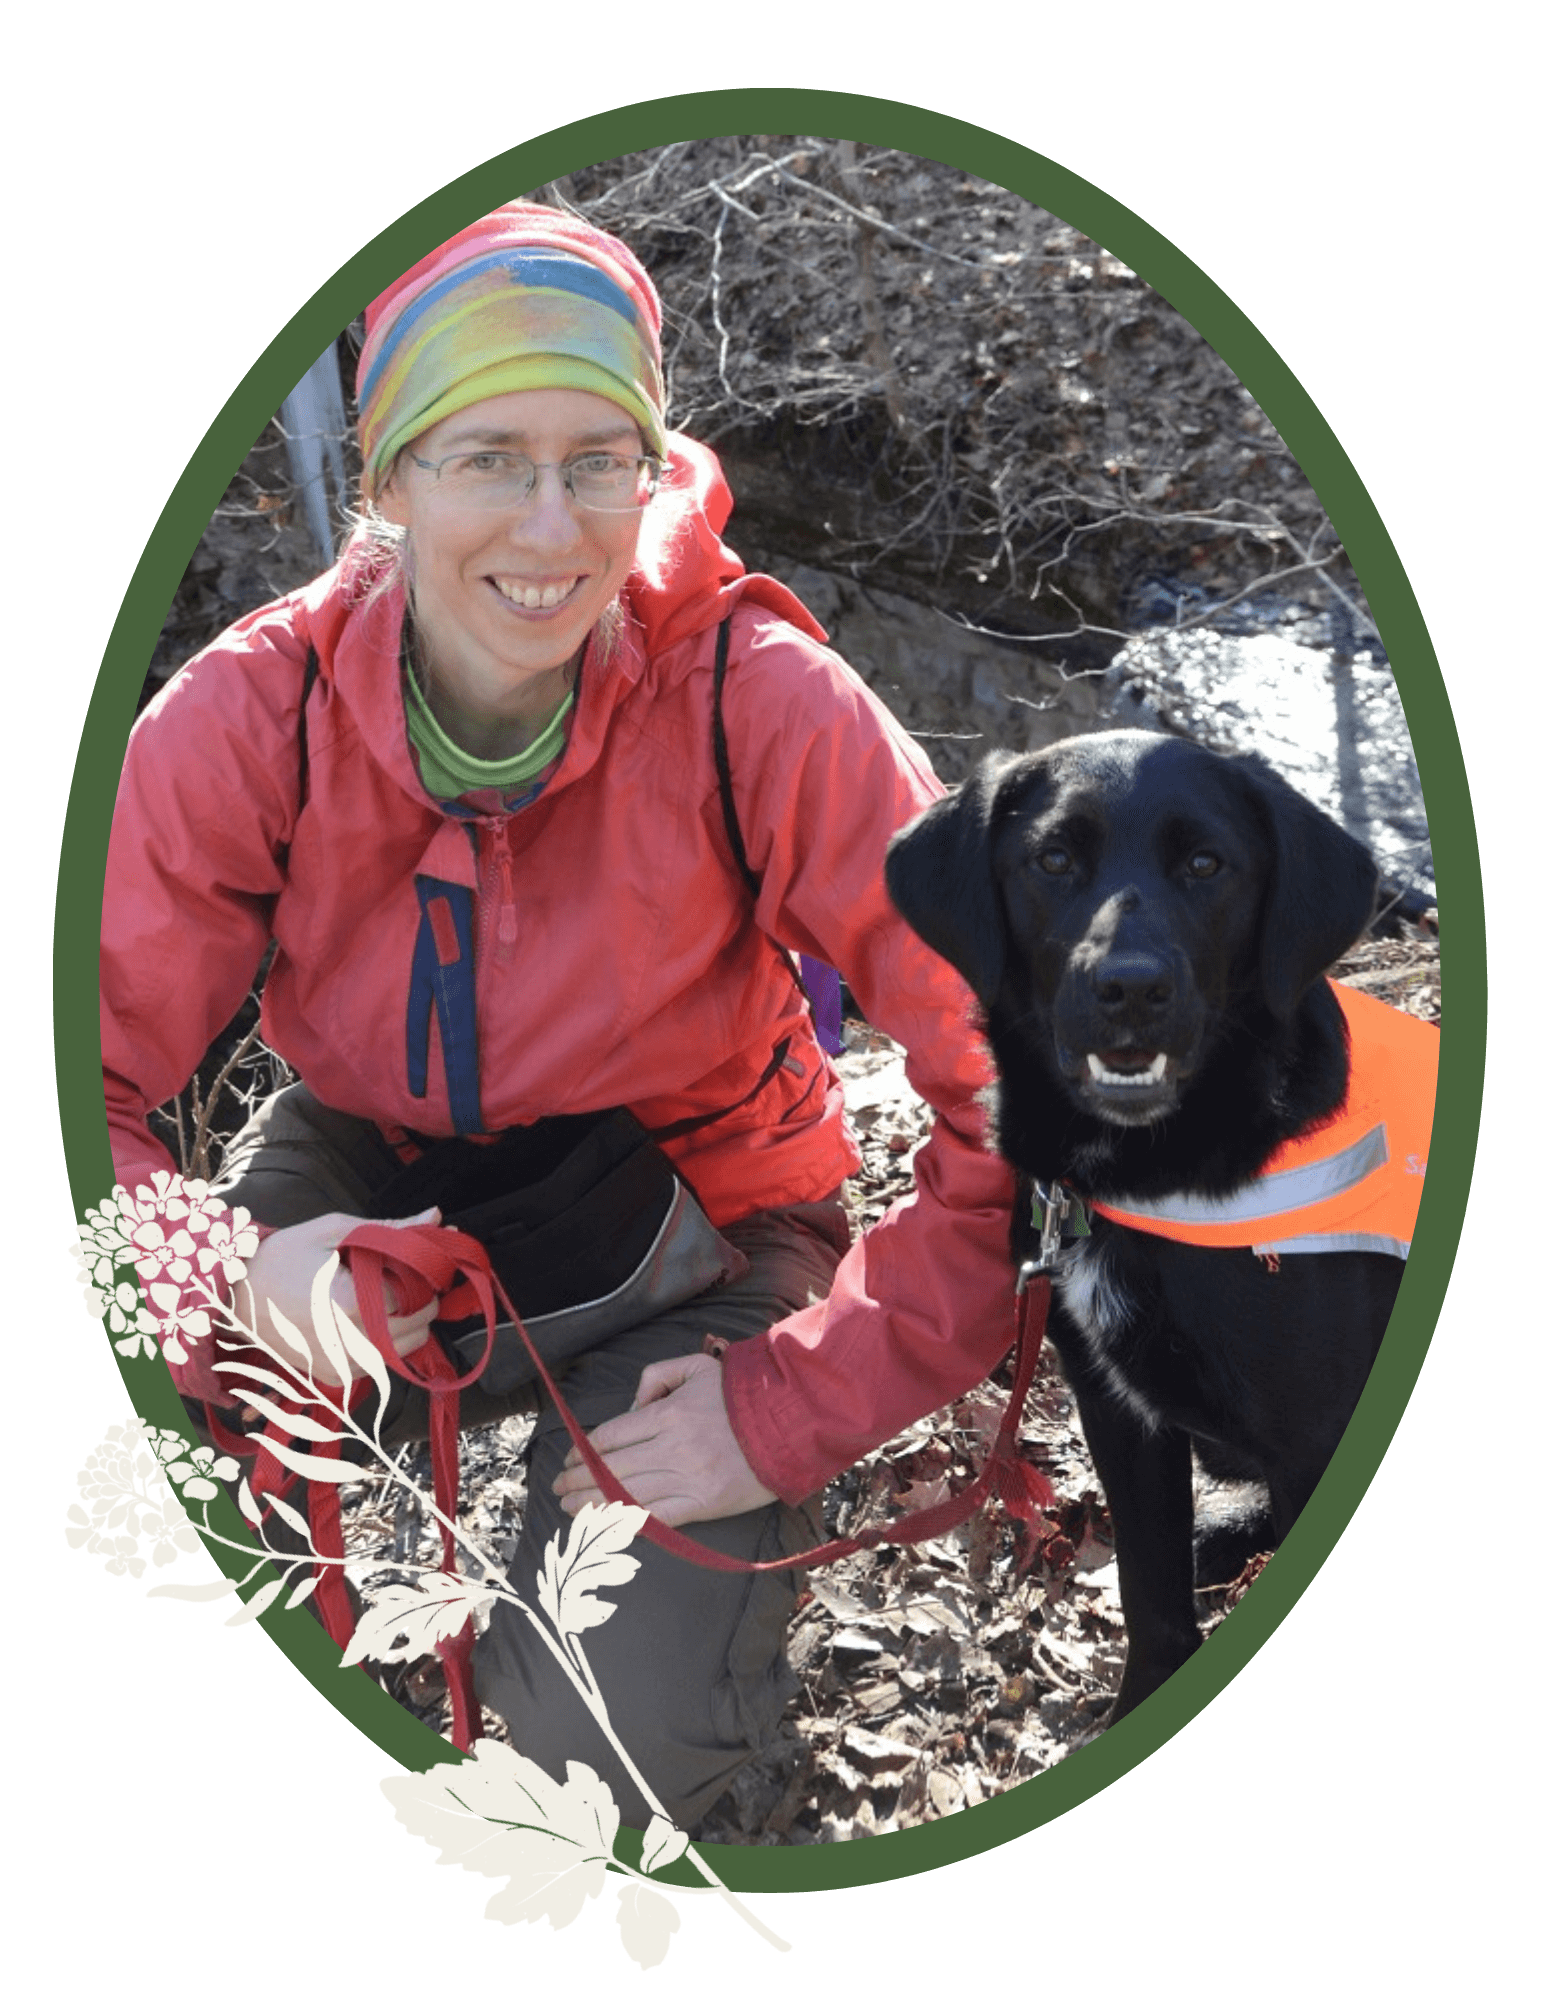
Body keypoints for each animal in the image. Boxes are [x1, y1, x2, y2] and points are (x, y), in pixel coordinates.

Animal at [888, 728, 1416, 1728]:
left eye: (1206, 865)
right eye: (1053, 860)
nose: (1129, 988)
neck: (1146, 1173)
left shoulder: (1314, 1434)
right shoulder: (1116, 1407)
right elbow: (1153, 1601)